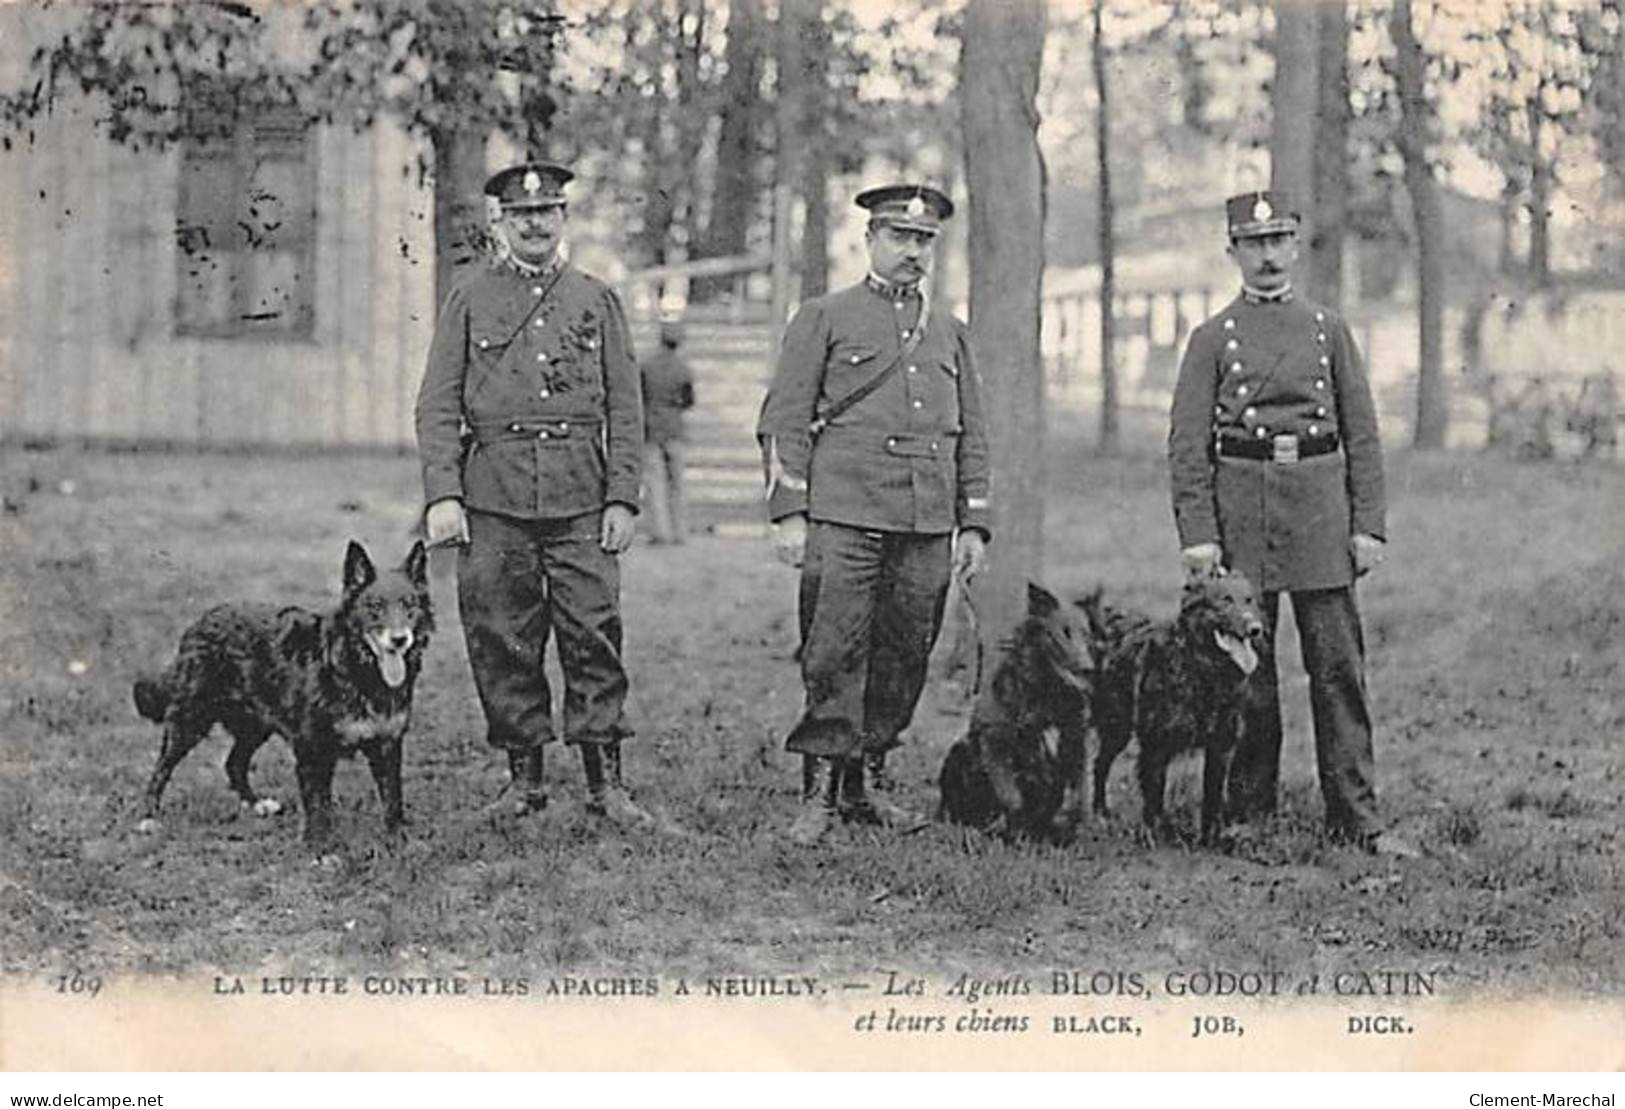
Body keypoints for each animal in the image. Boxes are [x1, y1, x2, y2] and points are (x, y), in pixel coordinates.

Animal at [132, 536, 429, 845]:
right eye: (375, 606)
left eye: (410, 604)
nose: (399, 639)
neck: (355, 669)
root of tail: (199, 622)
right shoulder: (313, 751)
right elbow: (318, 807)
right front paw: (321, 849)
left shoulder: (388, 745)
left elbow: (393, 800)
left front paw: (398, 842)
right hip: (191, 719)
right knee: (163, 766)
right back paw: (148, 816)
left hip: (255, 724)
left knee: (234, 763)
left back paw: (255, 803)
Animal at [936, 578, 1098, 839]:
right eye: (1063, 633)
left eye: (1088, 636)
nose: (1088, 669)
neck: (1048, 692)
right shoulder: (995, 741)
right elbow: (1011, 796)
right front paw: (1014, 825)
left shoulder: (1075, 741)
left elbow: (1078, 792)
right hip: (959, 751)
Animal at [1092, 565, 1267, 839]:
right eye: (1225, 601)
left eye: (1249, 601)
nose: (1255, 628)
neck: (1203, 668)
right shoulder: (1156, 744)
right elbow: (1154, 794)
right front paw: (1152, 835)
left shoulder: (1222, 745)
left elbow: (1213, 795)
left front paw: (1210, 838)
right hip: (1116, 726)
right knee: (1100, 764)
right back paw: (1100, 813)